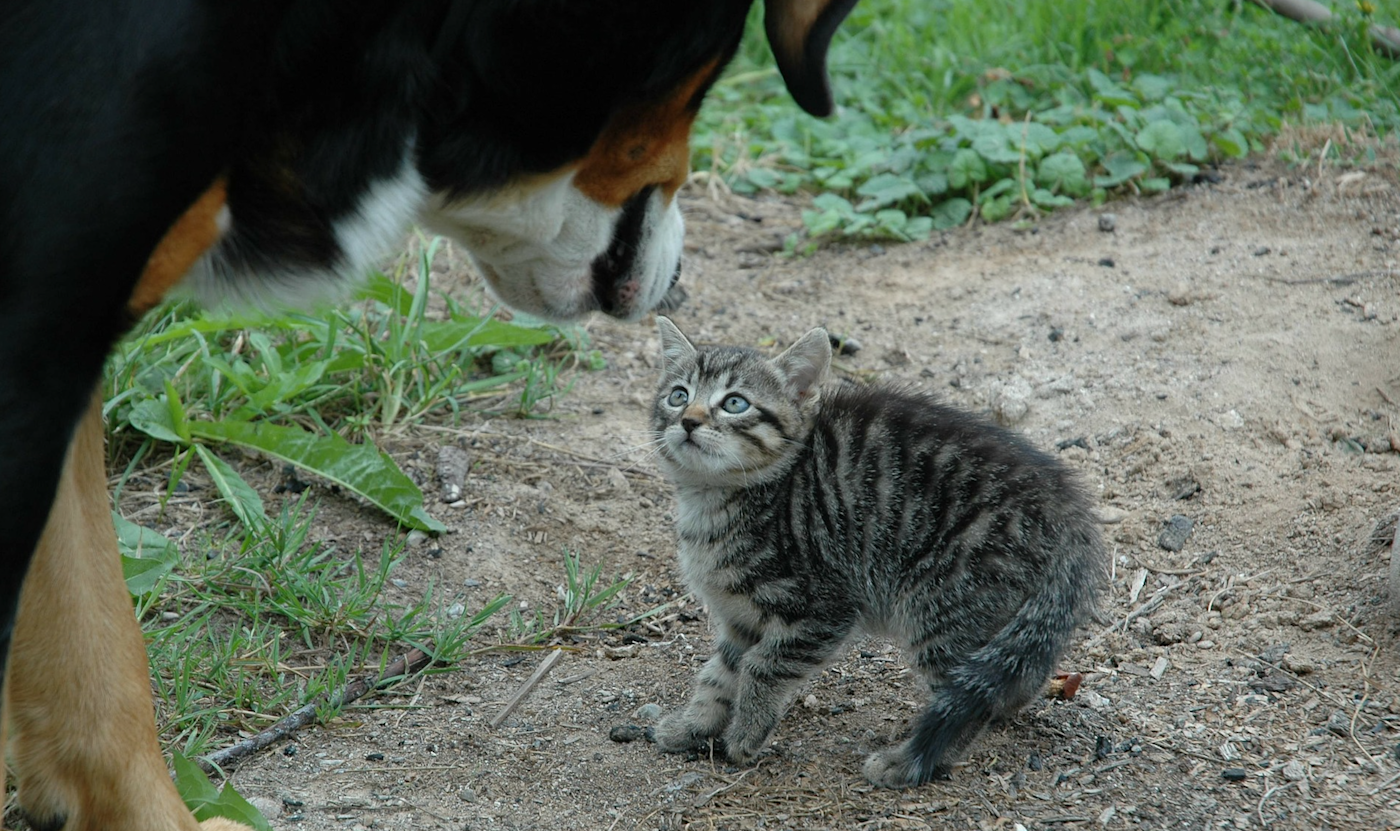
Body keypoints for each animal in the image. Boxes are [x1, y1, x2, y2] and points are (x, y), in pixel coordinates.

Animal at [646, 314, 1103, 783]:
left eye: (735, 403)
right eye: (679, 395)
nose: (688, 421)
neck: (713, 500)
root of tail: (1066, 509)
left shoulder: (823, 606)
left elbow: (764, 665)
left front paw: (746, 733)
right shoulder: (741, 617)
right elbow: (718, 674)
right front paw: (693, 725)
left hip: (942, 604)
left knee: (966, 697)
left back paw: (907, 763)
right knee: (1011, 674)